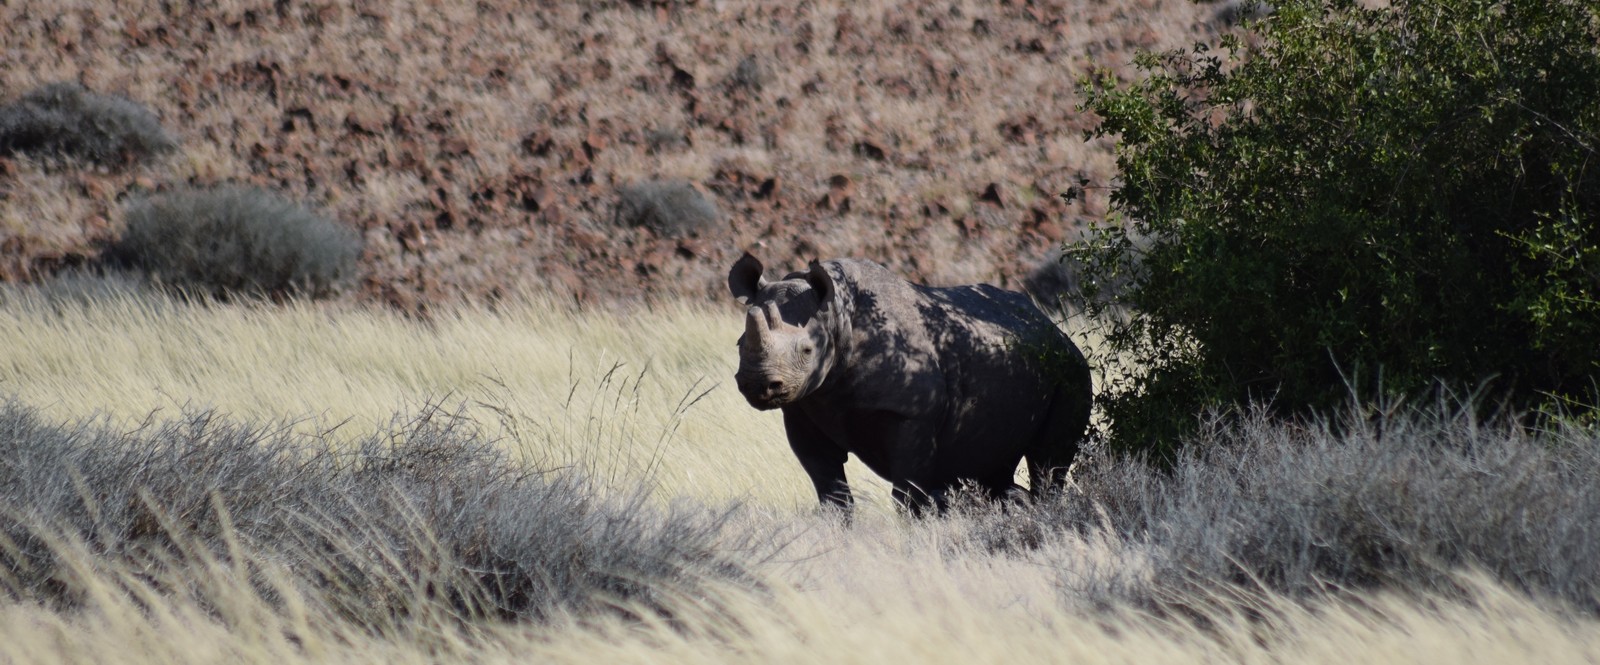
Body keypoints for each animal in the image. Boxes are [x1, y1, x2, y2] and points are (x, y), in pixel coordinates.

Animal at [732, 252, 1094, 517]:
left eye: (807, 350)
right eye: (739, 344)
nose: (758, 385)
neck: (837, 318)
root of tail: (1053, 329)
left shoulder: (910, 415)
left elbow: (907, 495)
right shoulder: (804, 408)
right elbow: (831, 493)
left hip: (1071, 370)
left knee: (1049, 460)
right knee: (993, 465)